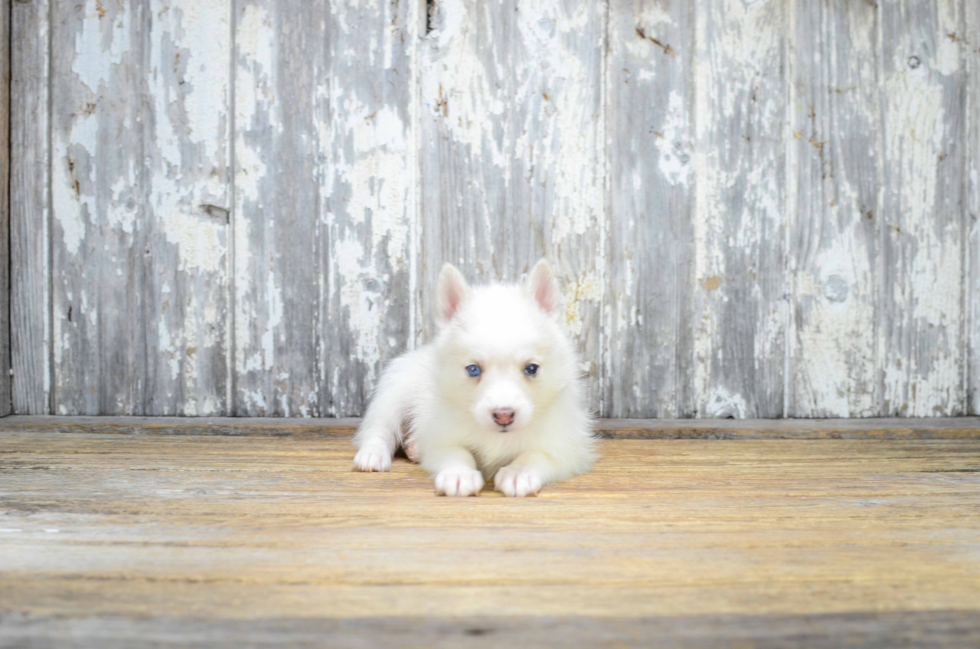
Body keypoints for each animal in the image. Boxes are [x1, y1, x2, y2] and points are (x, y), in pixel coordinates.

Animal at [354, 258, 596, 496]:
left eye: (531, 369)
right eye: (473, 370)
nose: (504, 416)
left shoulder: (566, 448)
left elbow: (535, 455)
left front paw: (519, 473)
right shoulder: (440, 438)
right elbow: (457, 453)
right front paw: (459, 473)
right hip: (395, 392)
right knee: (379, 427)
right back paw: (373, 454)